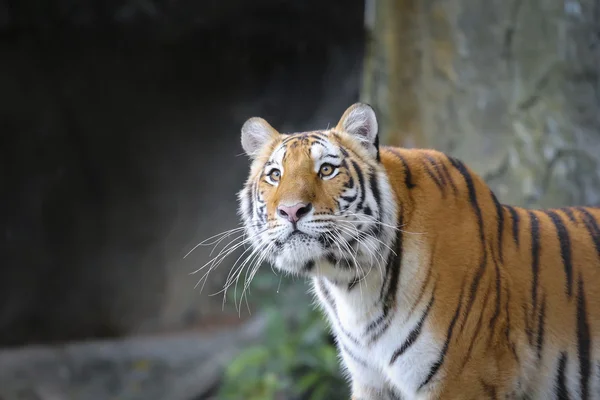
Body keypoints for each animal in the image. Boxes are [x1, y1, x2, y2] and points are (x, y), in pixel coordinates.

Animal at [236, 101, 600, 398]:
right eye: (275, 174)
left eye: (327, 169)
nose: (291, 211)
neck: (354, 285)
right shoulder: (371, 381)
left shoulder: (461, 380)